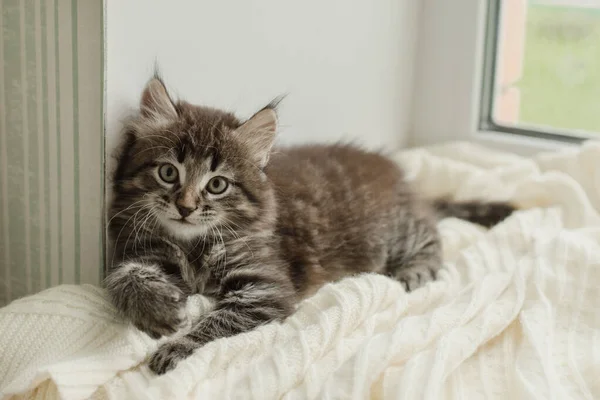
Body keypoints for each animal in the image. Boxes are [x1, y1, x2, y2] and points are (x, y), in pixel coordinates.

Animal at [104, 76, 516, 376]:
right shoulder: (141, 248)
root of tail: (401, 177)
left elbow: (216, 323)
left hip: (392, 231)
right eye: (168, 173)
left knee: (431, 234)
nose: (186, 207)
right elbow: (123, 275)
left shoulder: (265, 288)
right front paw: (155, 308)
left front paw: (174, 349)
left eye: (217, 184)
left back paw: (415, 270)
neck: (193, 243)